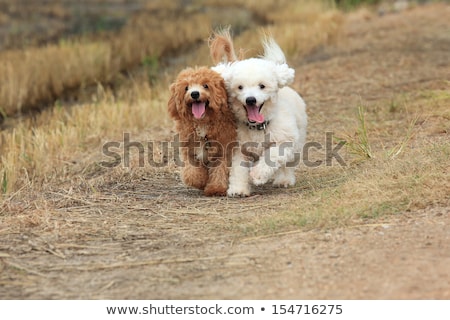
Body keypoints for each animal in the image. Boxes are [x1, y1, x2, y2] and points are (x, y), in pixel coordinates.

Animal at [165, 65, 236, 195]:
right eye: (186, 88)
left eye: (205, 85)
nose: (194, 94)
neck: (202, 123)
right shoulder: (189, 149)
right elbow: (192, 173)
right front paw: (200, 182)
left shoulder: (223, 149)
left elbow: (219, 171)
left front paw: (216, 188)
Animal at [209, 30, 308, 196]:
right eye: (240, 87)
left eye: (262, 86)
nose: (250, 99)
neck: (258, 127)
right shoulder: (239, 148)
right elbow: (238, 169)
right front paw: (238, 189)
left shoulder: (284, 141)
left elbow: (272, 156)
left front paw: (258, 175)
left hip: (297, 143)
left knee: (287, 165)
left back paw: (284, 180)